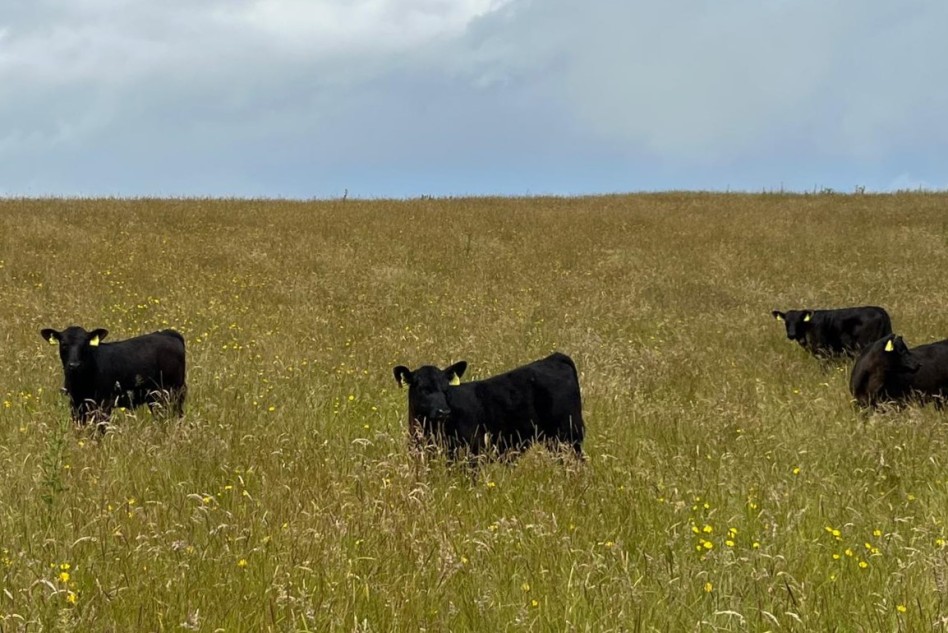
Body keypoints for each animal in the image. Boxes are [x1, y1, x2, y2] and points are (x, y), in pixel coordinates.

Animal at [40, 326, 187, 424]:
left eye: (85, 344)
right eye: (64, 344)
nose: (74, 365)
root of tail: (168, 333)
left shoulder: (104, 404)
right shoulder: (76, 404)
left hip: (174, 392)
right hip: (155, 396)